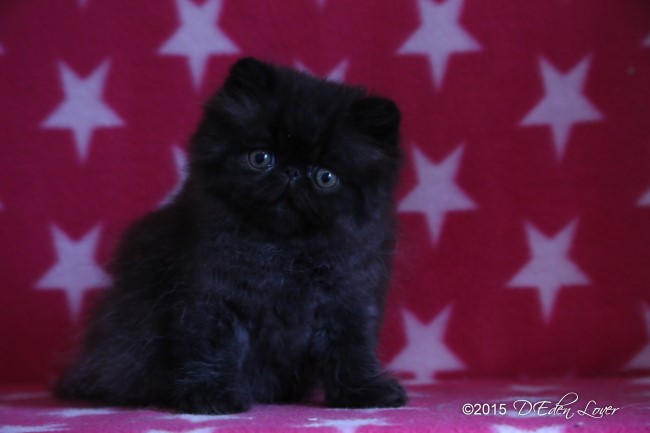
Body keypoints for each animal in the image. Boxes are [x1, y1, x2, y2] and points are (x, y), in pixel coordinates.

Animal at [54, 57, 407, 414]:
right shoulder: (209, 300)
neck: (283, 251)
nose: (292, 173)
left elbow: (352, 352)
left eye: (325, 177)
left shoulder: (349, 303)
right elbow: (212, 349)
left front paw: (365, 391)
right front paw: (210, 395)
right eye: (261, 158)